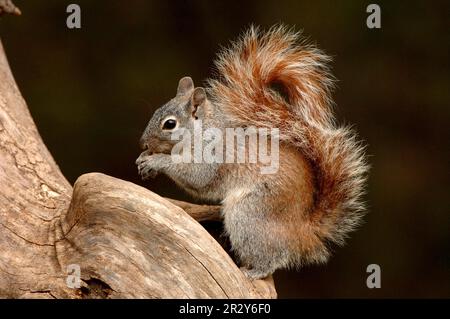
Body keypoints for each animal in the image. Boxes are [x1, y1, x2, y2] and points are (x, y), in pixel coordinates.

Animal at [137, 25, 370, 280]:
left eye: (169, 124)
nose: (142, 144)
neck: (205, 129)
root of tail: (301, 231)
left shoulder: (213, 154)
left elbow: (196, 176)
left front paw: (156, 160)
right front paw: (143, 160)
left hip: (249, 214)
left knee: (272, 258)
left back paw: (253, 271)